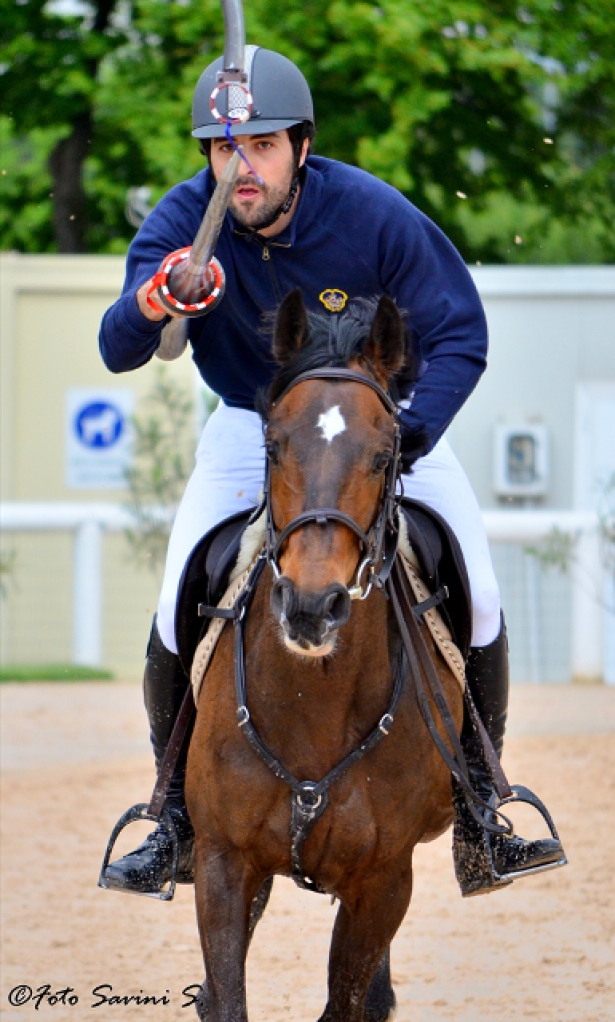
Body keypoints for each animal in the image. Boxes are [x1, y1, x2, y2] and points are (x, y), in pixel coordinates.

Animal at [183, 290, 461, 1021]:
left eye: (386, 454)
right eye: (273, 445)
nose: (313, 605)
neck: (316, 698)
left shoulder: (384, 881)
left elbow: (348, 999)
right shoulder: (222, 864)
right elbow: (226, 997)